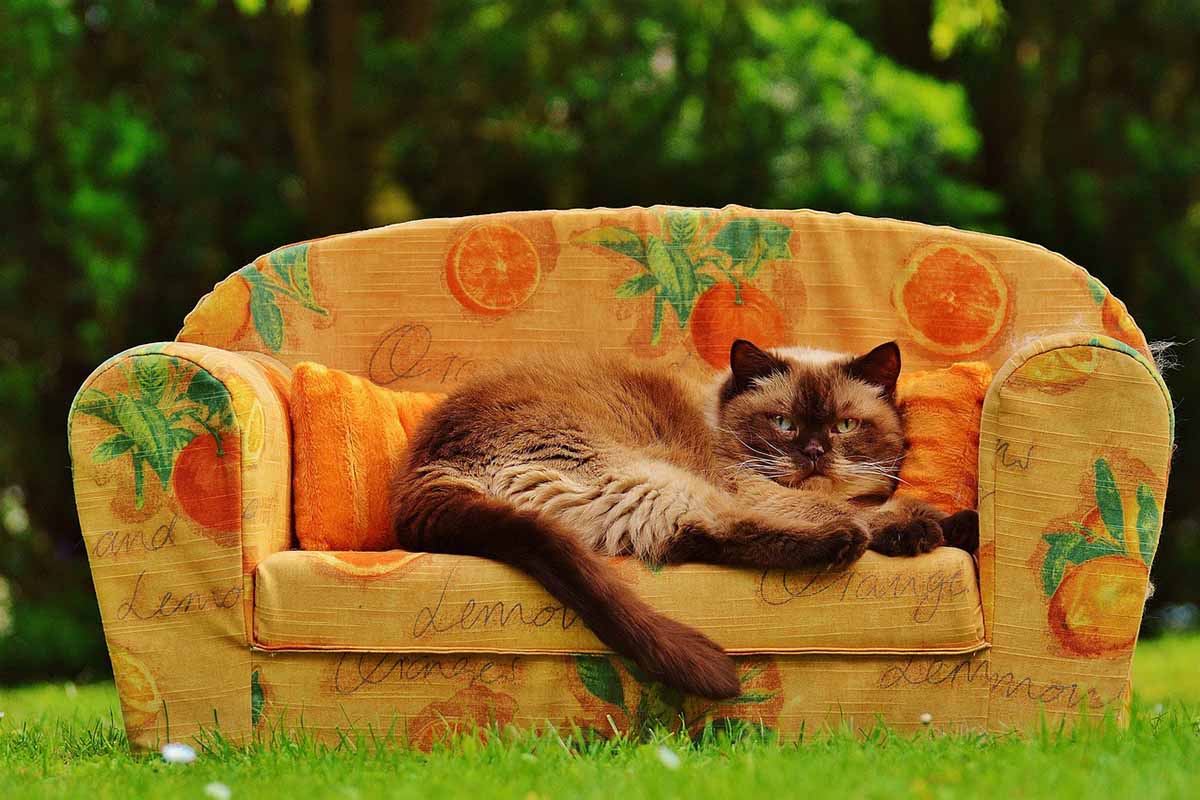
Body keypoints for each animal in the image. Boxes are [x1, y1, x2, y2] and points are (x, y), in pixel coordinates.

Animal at [388, 340, 979, 700]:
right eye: (783, 424)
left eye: (845, 426)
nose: (812, 453)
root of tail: (423, 476)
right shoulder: (748, 482)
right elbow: (856, 509)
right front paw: (915, 528)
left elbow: (894, 507)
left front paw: (958, 526)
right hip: (657, 471)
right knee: (714, 528)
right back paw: (841, 543)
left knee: (687, 538)